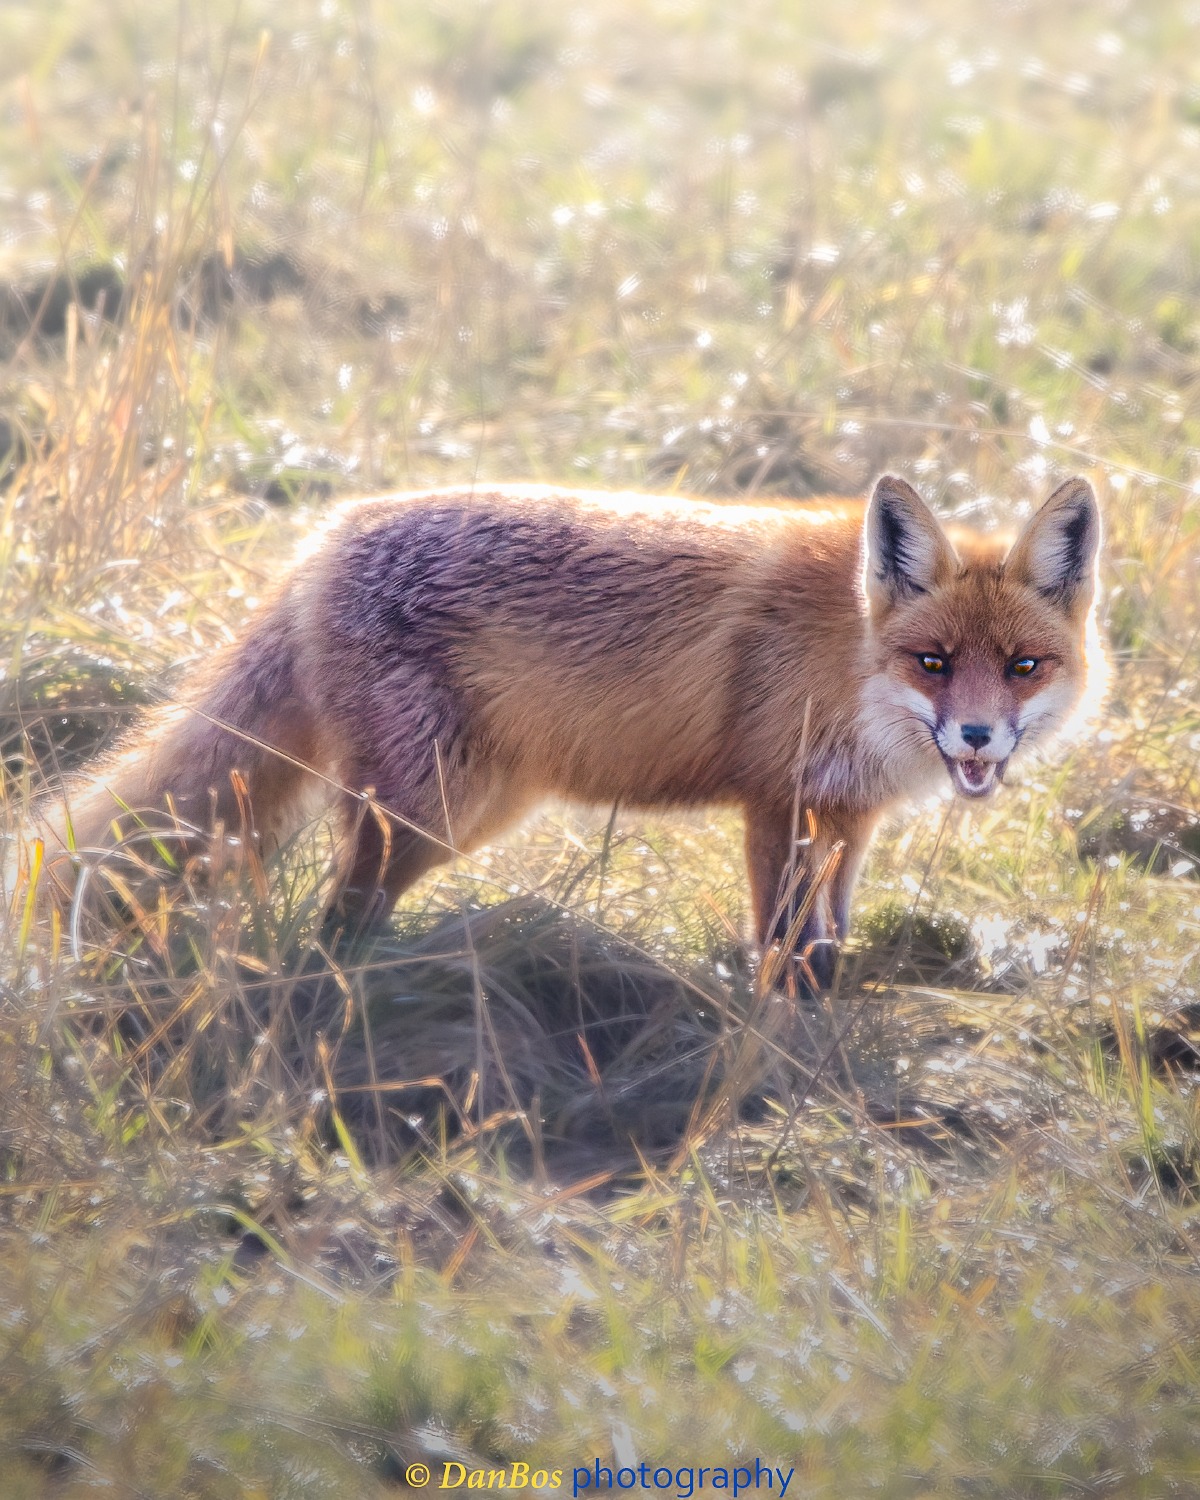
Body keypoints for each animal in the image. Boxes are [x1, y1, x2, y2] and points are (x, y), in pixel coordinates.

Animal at [33, 472, 1103, 987]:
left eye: (1023, 667)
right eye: (934, 662)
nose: (977, 738)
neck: (848, 653)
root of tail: (322, 542)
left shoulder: (848, 820)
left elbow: (828, 944)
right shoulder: (780, 803)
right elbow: (782, 953)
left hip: (469, 806)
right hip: (427, 809)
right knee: (336, 920)